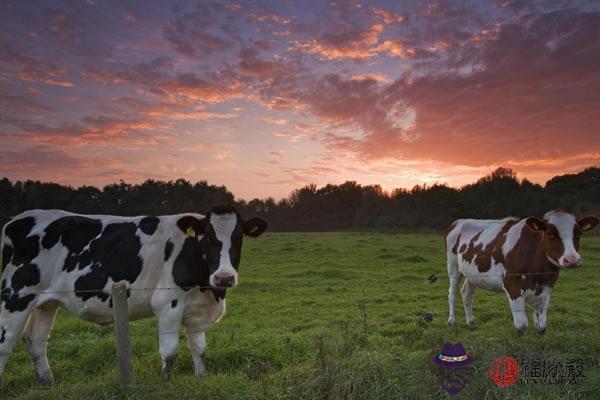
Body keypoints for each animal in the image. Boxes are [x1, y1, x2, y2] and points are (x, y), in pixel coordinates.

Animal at [0, 206, 268, 384]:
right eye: (208, 237)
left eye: (238, 237)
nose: (224, 277)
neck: (208, 289)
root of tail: (16, 219)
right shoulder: (168, 303)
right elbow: (170, 352)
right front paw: (165, 383)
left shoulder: (196, 309)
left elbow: (200, 349)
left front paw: (201, 378)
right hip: (15, 296)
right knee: (6, 342)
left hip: (46, 302)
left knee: (35, 339)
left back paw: (48, 382)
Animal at [442, 209, 596, 334]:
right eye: (550, 234)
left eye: (578, 234)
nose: (572, 259)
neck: (539, 273)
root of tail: (458, 221)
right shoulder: (512, 284)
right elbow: (522, 325)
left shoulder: (546, 288)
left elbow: (541, 326)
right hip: (453, 267)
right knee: (452, 293)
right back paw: (452, 321)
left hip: (473, 274)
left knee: (466, 294)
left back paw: (471, 323)